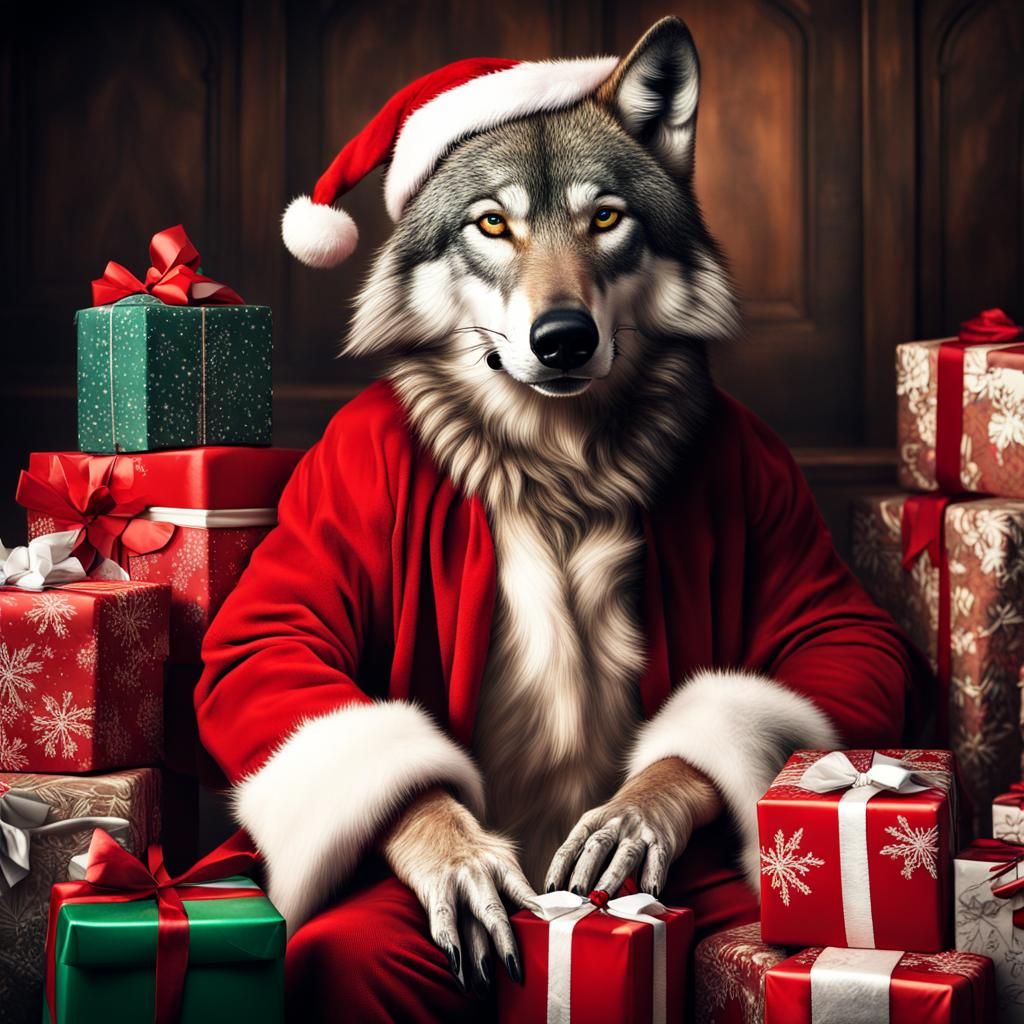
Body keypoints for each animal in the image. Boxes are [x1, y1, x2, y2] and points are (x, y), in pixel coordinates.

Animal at [197, 14, 918, 1020]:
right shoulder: (334, 494)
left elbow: (839, 644)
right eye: (493, 223)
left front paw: (641, 807)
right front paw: (454, 851)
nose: (565, 339)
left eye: (605, 218)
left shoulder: (778, 501)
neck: (560, 466)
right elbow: (270, 650)